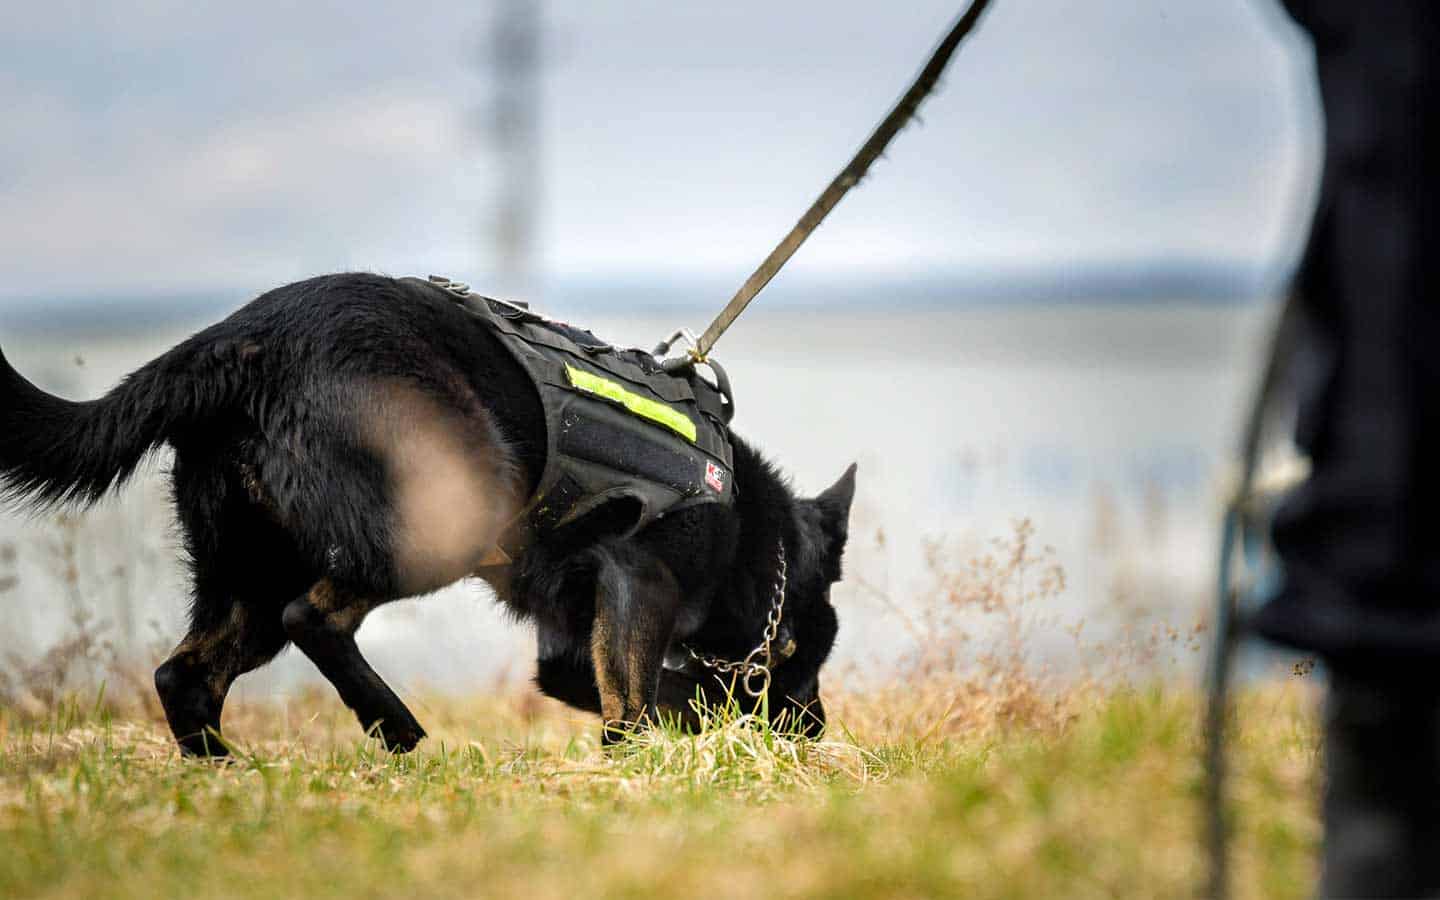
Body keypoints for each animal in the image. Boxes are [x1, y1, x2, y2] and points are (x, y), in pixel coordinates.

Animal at [0, 273, 852, 748]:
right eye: (800, 651)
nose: (814, 731)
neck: (749, 533)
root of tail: (239, 341)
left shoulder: (567, 649)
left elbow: (654, 699)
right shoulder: (640, 585)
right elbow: (652, 701)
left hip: (249, 576)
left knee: (186, 675)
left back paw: (223, 781)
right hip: (443, 519)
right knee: (312, 618)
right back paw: (395, 728)